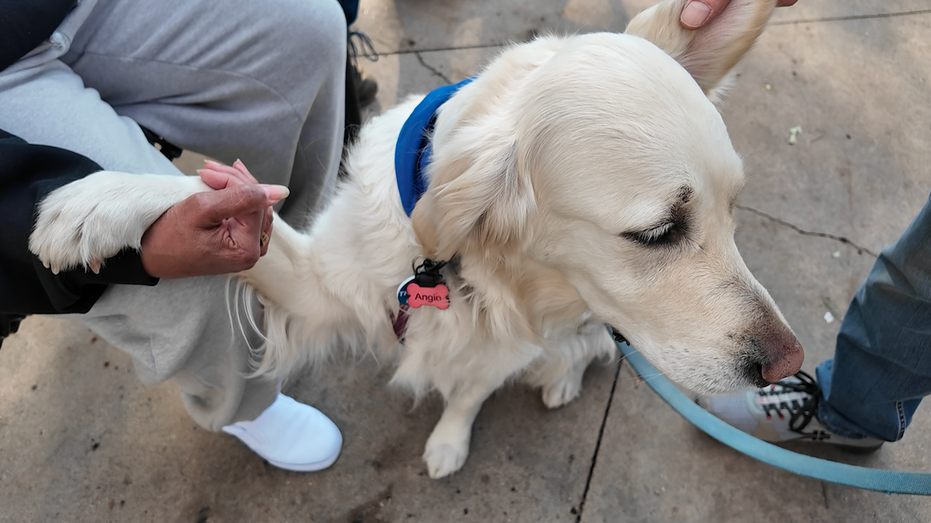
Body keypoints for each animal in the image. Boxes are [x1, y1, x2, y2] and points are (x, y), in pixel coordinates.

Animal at [32, 0, 804, 478]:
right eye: (657, 232)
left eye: (734, 209)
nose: (788, 362)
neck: (473, 271)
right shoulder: (320, 284)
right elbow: (216, 198)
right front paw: (98, 202)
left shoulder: (504, 345)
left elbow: (468, 393)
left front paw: (448, 441)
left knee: (588, 348)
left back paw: (561, 374)